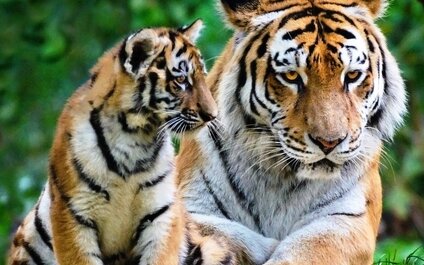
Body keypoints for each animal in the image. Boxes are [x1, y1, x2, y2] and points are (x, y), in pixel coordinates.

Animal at [8, 20, 248, 264]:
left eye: (202, 76)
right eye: (181, 80)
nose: (212, 115)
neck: (134, 136)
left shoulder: (161, 214)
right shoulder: (74, 215)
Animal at [176, 1, 408, 262]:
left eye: (352, 75)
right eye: (291, 75)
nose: (329, 143)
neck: (279, 177)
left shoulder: (349, 218)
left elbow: (308, 249)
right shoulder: (192, 205)